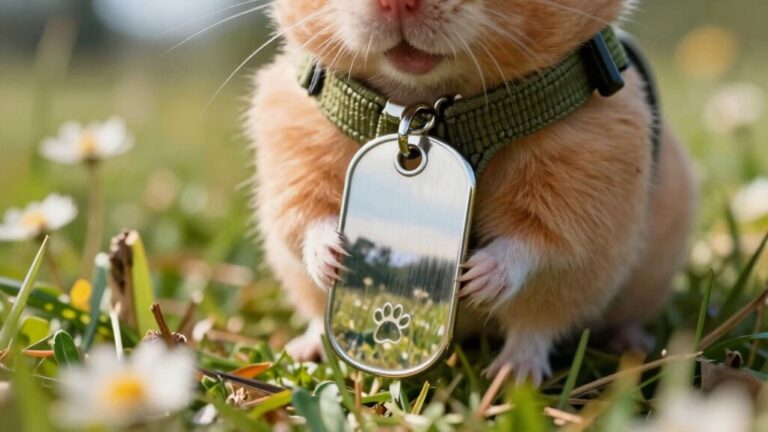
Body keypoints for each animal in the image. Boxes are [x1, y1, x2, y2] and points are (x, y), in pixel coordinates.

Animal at [246, 0, 697, 384]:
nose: (396, 3)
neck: (423, 105)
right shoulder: (293, 156)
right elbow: (307, 221)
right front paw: (337, 257)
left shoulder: (583, 202)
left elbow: (534, 245)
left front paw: (472, 279)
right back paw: (303, 350)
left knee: (535, 330)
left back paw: (524, 374)